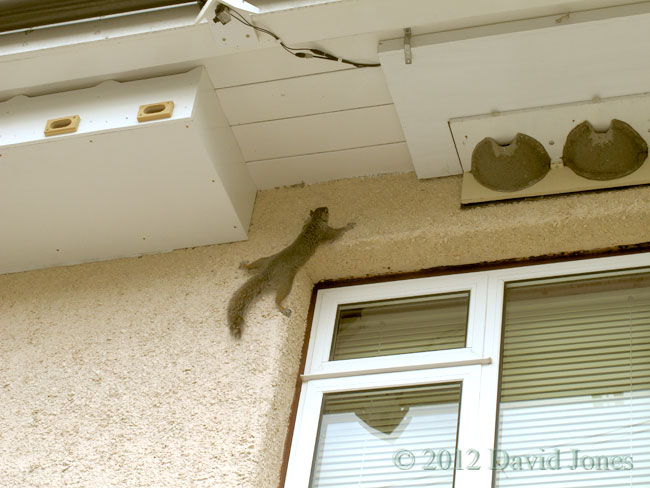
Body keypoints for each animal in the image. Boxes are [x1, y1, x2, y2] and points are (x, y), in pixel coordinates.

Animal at [227, 207, 355, 338]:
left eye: (322, 209)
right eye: (326, 211)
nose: (327, 207)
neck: (315, 222)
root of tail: (266, 273)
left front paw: (306, 218)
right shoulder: (324, 231)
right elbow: (336, 233)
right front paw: (348, 226)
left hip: (265, 260)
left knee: (254, 265)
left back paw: (245, 266)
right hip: (286, 282)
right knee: (278, 299)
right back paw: (282, 308)